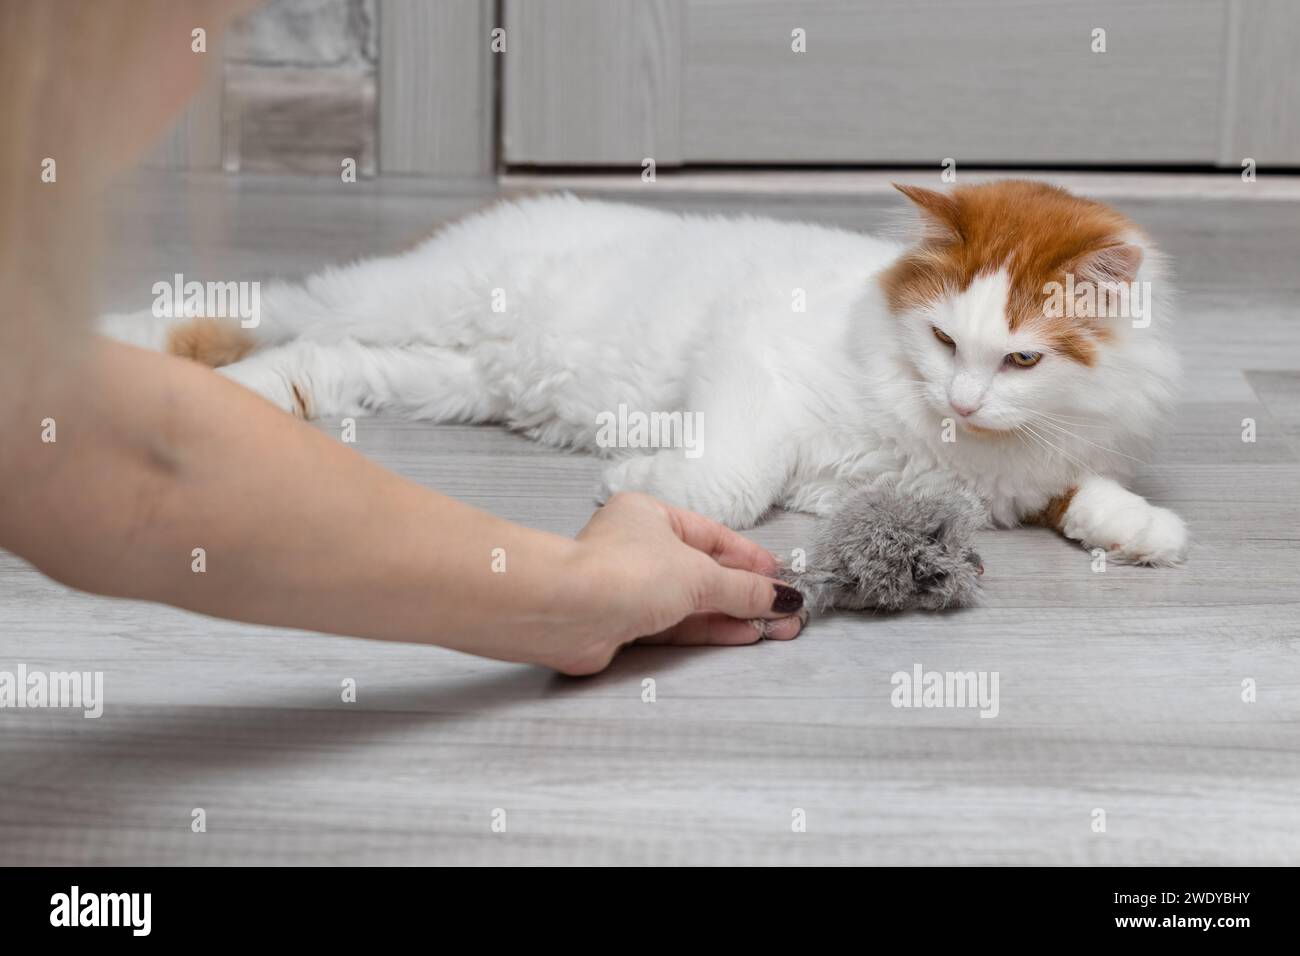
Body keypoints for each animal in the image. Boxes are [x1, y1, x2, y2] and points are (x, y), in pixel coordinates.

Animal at [104, 183, 1190, 564]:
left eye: (1019, 358)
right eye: (941, 342)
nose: (963, 398)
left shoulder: (1035, 470)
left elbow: (1084, 490)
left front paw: (1145, 532)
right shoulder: (750, 367)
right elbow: (735, 477)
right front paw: (639, 481)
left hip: (442, 377)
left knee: (311, 362)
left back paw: (248, 403)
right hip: (411, 303)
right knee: (270, 306)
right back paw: (121, 345)